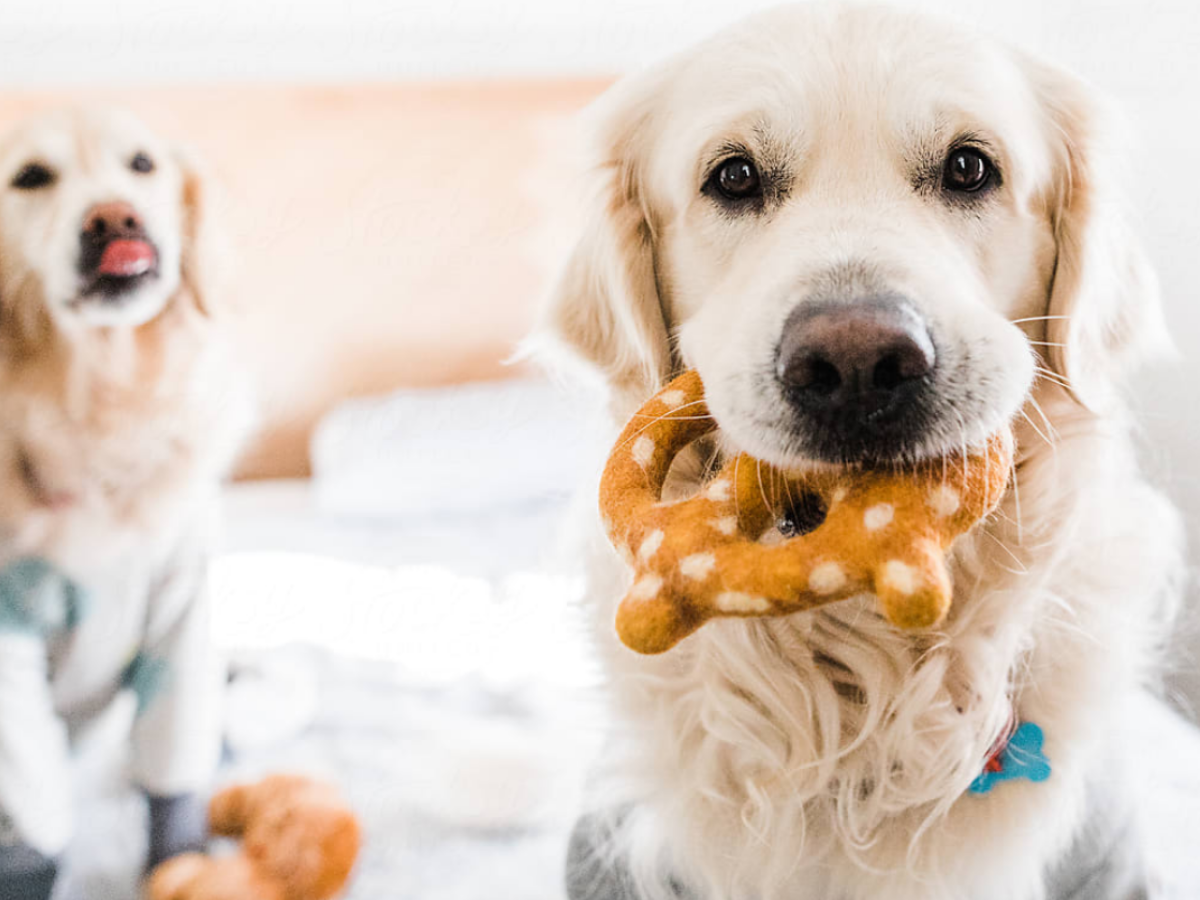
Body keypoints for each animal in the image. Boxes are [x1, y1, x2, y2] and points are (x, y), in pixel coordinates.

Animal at [0, 109, 248, 897]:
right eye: (29, 177)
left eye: (142, 164)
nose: (115, 218)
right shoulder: (6, 642)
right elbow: (34, 813)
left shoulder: (182, 610)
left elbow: (173, 768)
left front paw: (183, 862)